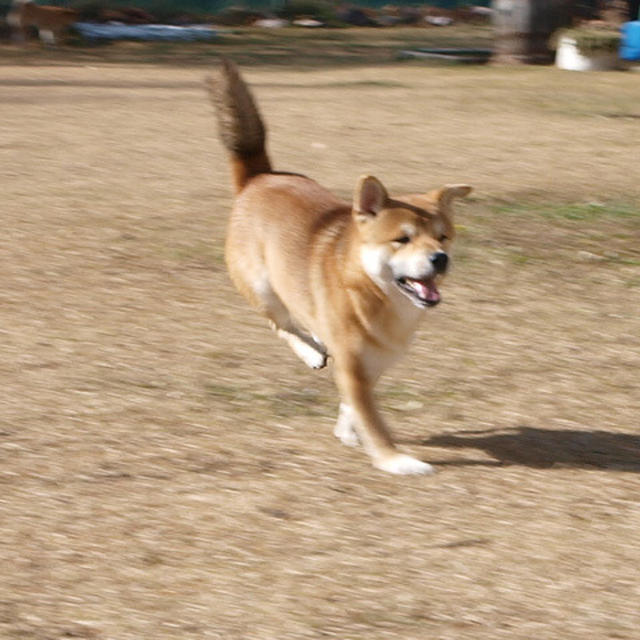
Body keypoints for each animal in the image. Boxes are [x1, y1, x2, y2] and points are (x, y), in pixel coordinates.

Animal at [208, 60, 472, 476]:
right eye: (403, 239)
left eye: (443, 237)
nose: (440, 259)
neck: (372, 293)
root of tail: (258, 177)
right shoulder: (351, 363)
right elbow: (373, 419)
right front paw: (394, 459)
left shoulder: (372, 364)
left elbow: (354, 405)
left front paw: (348, 430)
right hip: (263, 288)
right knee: (280, 324)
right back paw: (311, 352)